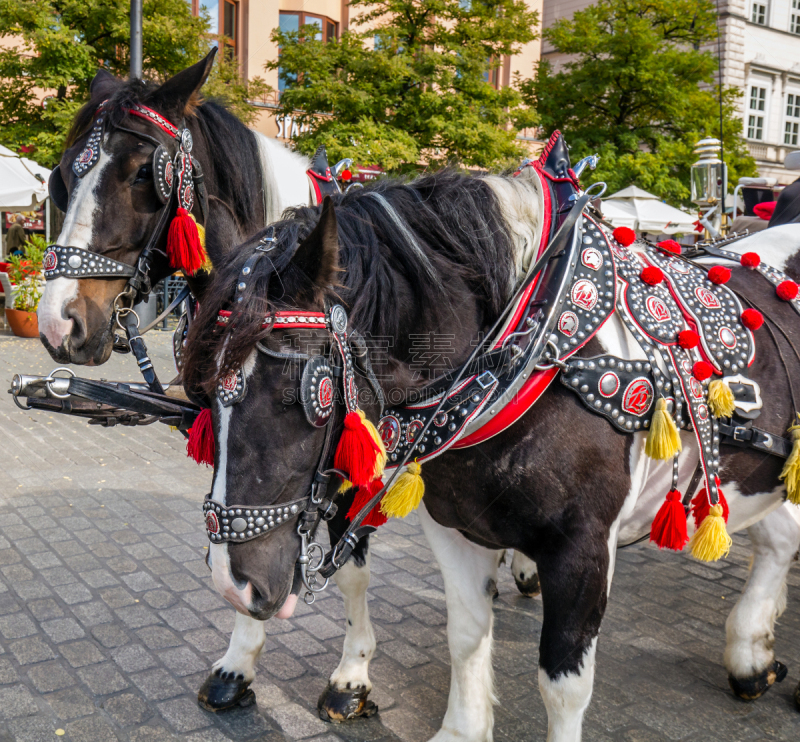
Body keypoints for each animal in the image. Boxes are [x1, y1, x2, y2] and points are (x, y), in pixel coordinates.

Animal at [181, 170, 800, 742]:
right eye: (202, 391)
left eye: (301, 395)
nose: (231, 585)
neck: (526, 356)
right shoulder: (453, 525)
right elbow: (466, 633)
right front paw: (460, 726)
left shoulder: (583, 547)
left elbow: (564, 682)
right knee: (779, 538)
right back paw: (752, 653)